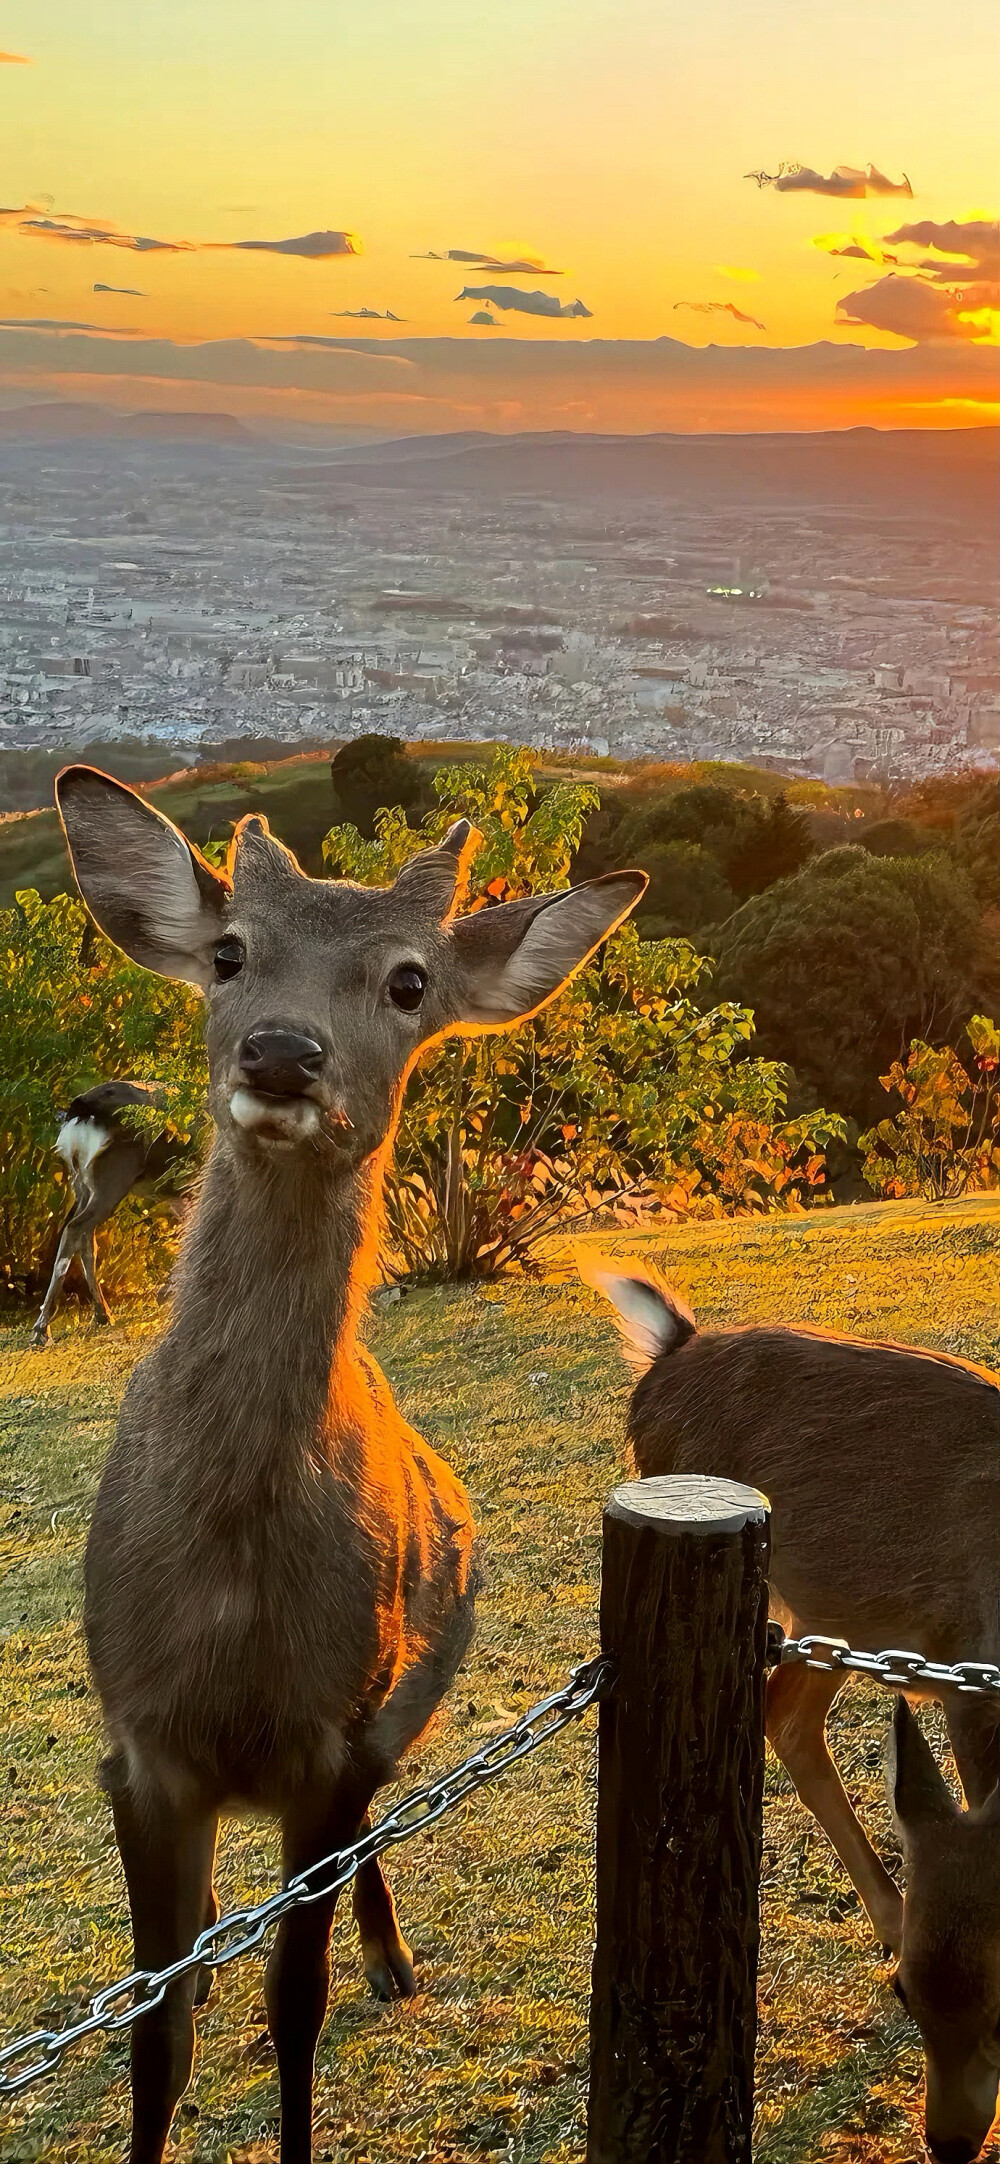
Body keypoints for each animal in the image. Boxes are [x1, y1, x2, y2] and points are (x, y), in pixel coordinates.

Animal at [30, 1090, 189, 1341]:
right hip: (113, 1179)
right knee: (76, 1229)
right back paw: (42, 1329)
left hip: (82, 1184)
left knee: (84, 1238)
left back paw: (101, 1314)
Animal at [56, 766, 649, 2164]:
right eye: (227, 954)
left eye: (407, 980)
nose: (281, 1053)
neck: (228, 1589)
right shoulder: (138, 1748)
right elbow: (154, 2032)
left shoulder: (330, 1734)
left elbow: (296, 2004)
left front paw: (344, 1997)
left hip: (399, 1703)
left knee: (371, 1837)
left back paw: (392, 1959)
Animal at [580, 1255, 1000, 2164]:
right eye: (907, 1994)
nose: (950, 2142)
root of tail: (669, 1352)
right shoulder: (967, 1675)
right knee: (787, 1715)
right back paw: (890, 1915)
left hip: (837, 1612)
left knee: (789, 1715)